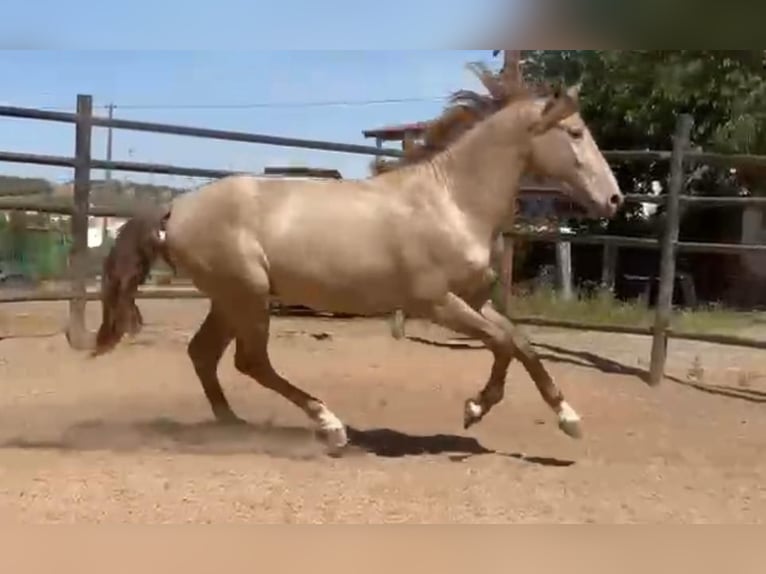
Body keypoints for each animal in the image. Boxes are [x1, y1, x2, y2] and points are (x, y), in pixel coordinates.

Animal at [93, 77, 628, 454]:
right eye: (575, 133)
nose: (615, 199)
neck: (451, 202)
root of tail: (174, 208)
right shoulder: (436, 303)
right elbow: (502, 343)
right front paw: (475, 408)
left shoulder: (473, 300)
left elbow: (522, 342)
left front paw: (568, 419)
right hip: (246, 295)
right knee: (250, 361)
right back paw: (329, 427)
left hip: (230, 299)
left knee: (205, 355)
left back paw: (233, 426)